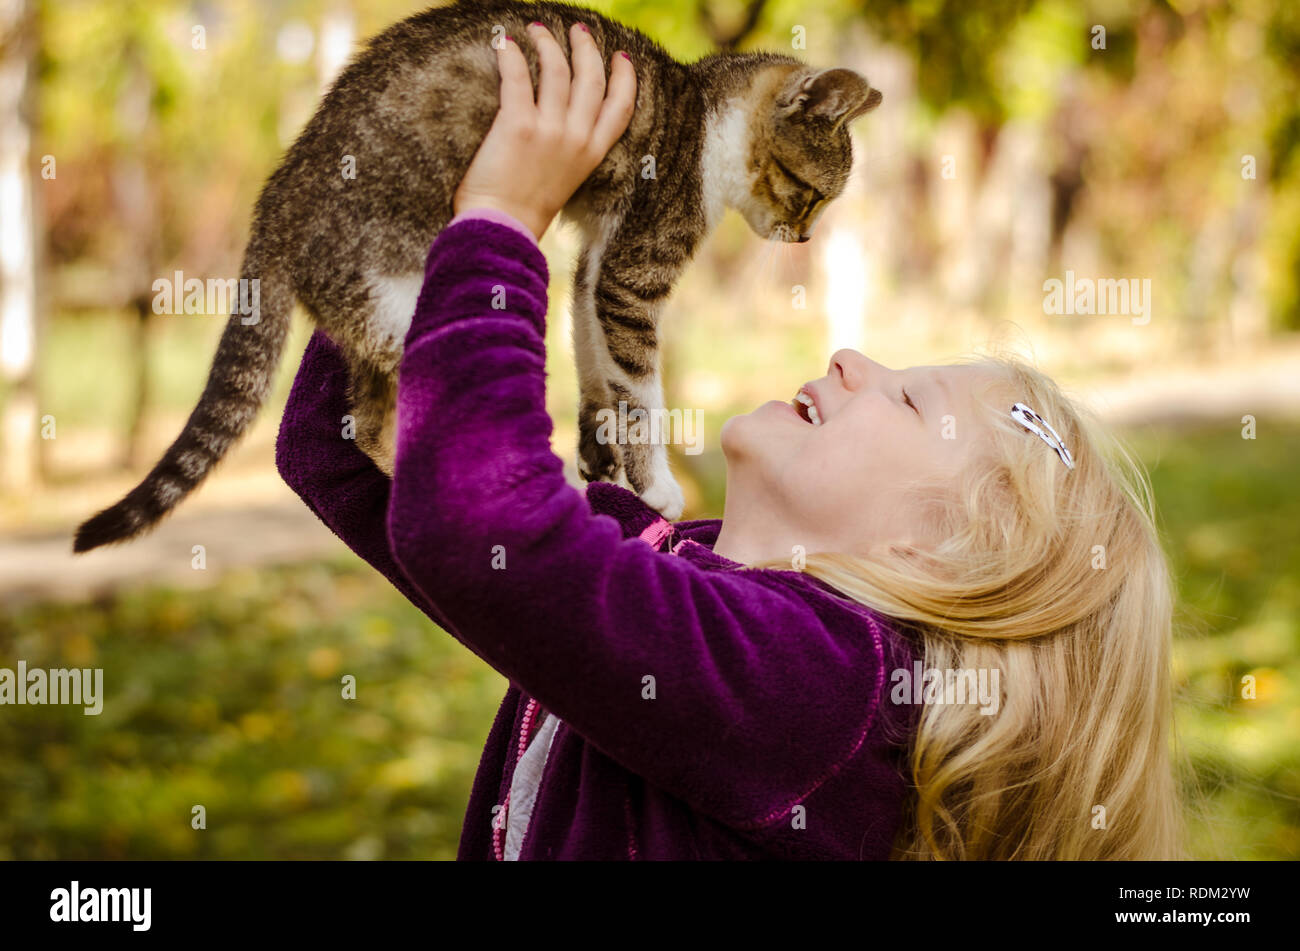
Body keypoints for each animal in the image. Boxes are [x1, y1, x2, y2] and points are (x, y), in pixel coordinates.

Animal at [73, 0, 883, 550]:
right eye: (813, 195)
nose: (806, 233)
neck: (702, 116)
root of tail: (278, 199)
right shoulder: (636, 264)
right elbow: (642, 388)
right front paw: (653, 482)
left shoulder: (597, 259)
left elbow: (593, 350)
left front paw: (599, 445)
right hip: (403, 299)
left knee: (367, 422)